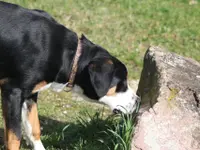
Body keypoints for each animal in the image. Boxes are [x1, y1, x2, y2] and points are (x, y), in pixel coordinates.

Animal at [0, 1, 140, 150]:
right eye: (121, 83)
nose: (138, 101)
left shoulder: (30, 93)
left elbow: (34, 127)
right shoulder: (13, 91)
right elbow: (14, 137)